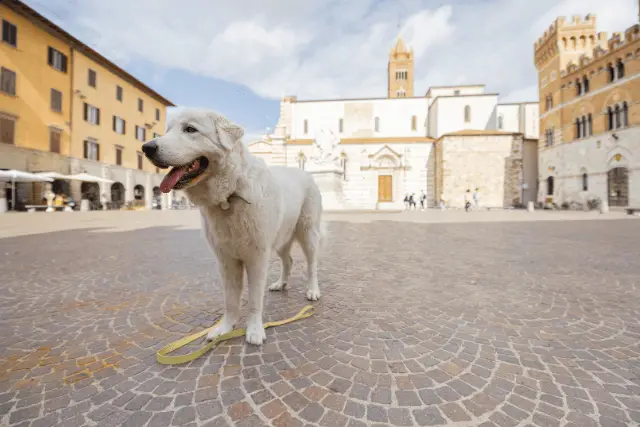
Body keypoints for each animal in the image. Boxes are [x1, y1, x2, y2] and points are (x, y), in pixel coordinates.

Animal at [144, 108, 324, 346]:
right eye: (167, 131)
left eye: (190, 129)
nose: (147, 148)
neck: (230, 195)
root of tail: (304, 173)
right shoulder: (227, 260)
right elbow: (230, 300)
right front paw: (225, 329)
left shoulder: (257, 258)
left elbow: (254, 300)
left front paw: (254, 331)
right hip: (280, 239)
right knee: (289, 260)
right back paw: (280, 283)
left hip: (308, 234)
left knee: (312, 265)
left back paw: (313, 290)